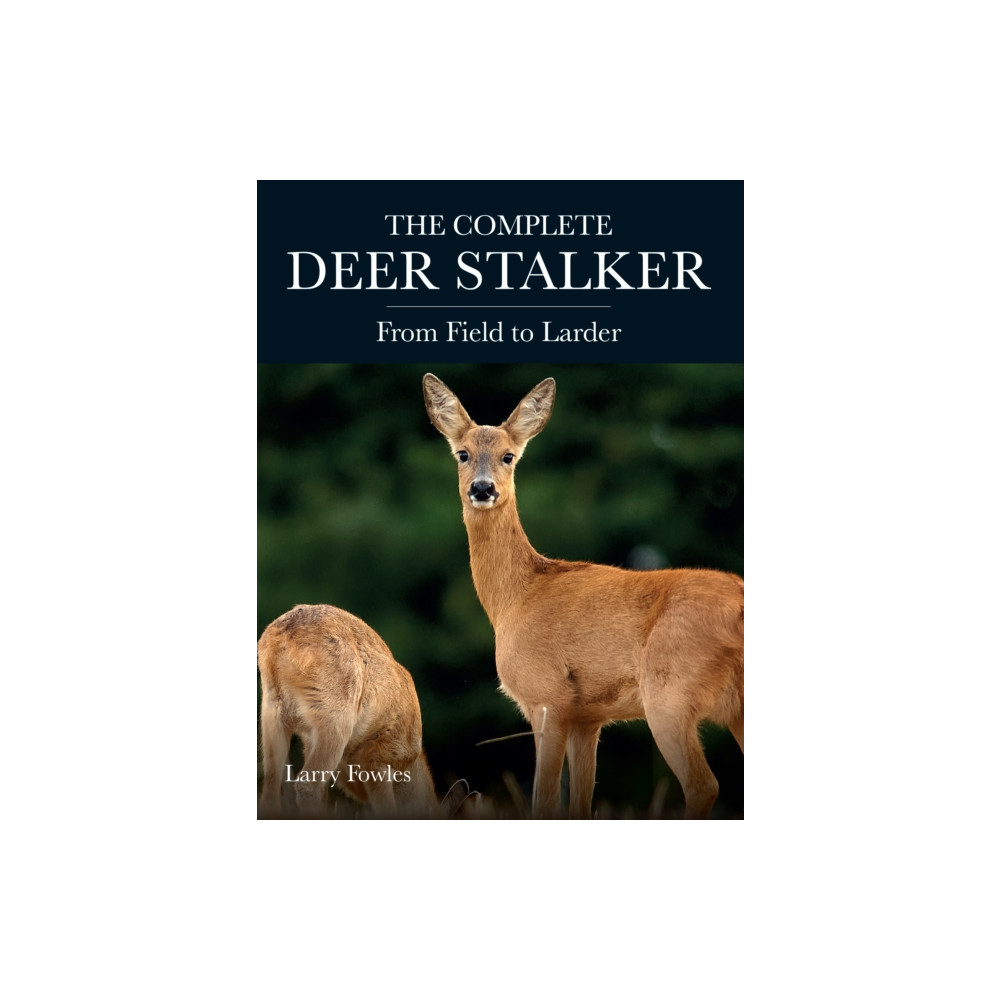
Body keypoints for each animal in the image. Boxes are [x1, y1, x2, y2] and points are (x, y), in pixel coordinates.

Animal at [258, 604, 476, 818]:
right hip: (334, 715)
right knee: (306, 785)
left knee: (270, 789)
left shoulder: (309, 742)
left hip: (273, 710)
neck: (408, 761)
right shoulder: (378, 756)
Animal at [423, 373, 744, 820]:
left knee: (703, 784)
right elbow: (580, 803)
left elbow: (544, 801)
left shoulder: (547, 697)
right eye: (462, 453)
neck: (515, 598)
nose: (482, 489)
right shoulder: (587, 717)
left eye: (508, 456)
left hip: (669, 691)